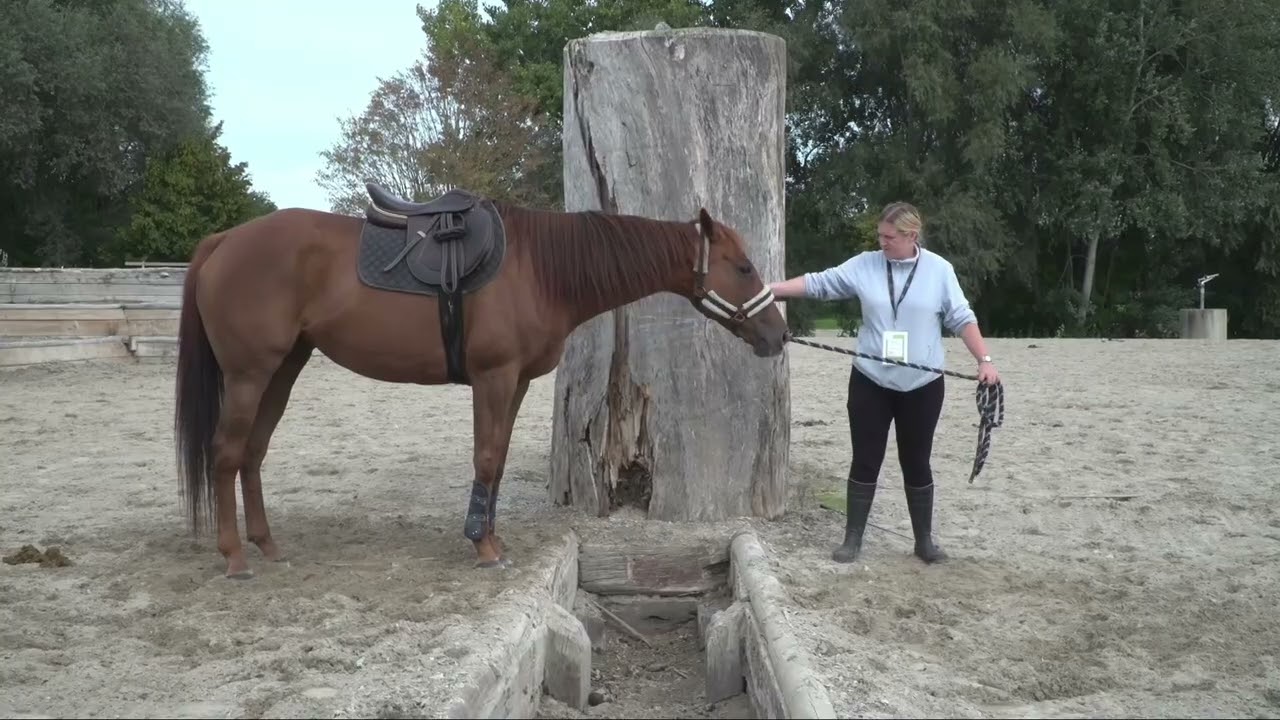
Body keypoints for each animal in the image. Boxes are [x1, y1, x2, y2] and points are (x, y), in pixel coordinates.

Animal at [173, 182, 790, 579]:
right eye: (742, 267)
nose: (779, 335)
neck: (539, 269)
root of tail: (224, 240)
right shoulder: (493, 377)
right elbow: (487, 457)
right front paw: (482, 547)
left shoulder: (514, 383)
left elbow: (497, 454)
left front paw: (492, 536)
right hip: (250, 374)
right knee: (226, 453)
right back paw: (234, 557)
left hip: (283, 369)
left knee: (252, 454)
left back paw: (267, 545)